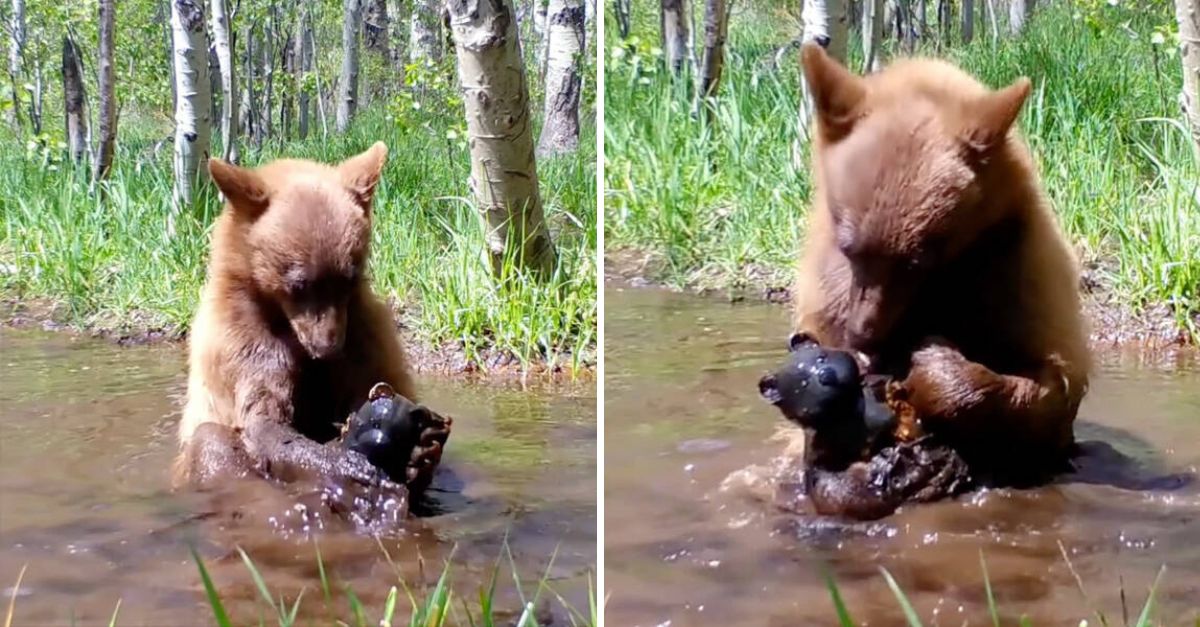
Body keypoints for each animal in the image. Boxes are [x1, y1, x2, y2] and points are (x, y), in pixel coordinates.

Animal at [174, 143, 445, 499]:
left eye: (348, 278)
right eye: (299, 284)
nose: (327, 348)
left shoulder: (362, 330)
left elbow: (377, 379)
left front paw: (420, 450)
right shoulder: (242, 339)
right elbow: (262, 418)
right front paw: (342, 462)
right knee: (210, 441)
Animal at [790, 43, 1091, 485]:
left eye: (917, 263)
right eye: (849, 249)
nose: (863, 336)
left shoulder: (1018, 270)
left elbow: (1054, 384)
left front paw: (932, 365)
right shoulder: (829, 290)